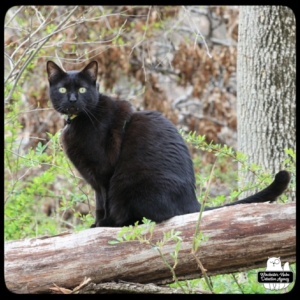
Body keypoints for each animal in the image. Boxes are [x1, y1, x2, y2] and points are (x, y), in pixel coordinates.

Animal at [46, 61, 290, 227]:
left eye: (82, 89)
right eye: (62, 89)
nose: (72, 100)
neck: (79, 121)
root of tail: (192, 203)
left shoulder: (104, 173)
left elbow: (104, 202)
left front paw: (102, 224)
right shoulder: (95, 179)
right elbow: (98, 203)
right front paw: (96, 224)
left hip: (129, 183)